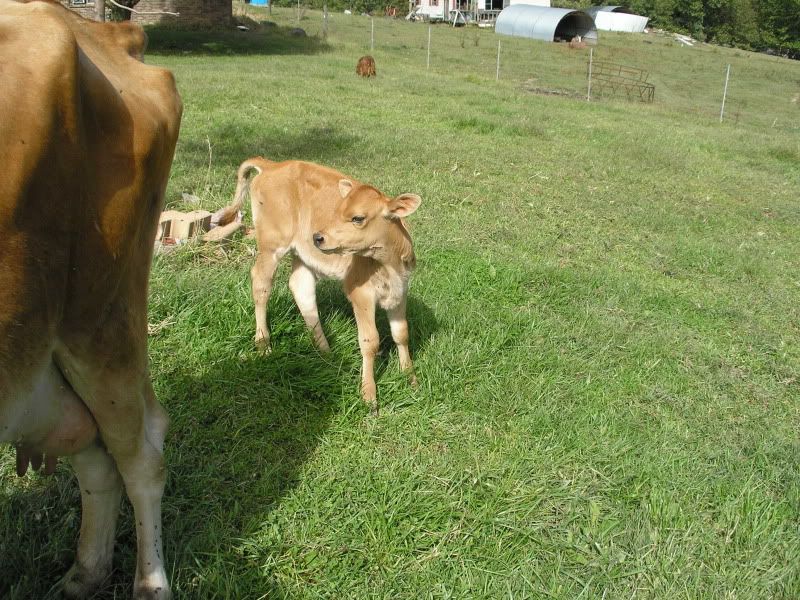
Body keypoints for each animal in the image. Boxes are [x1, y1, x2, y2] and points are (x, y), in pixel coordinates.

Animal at [223, 158, 420, 412]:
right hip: (271, 243)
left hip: (302, 253)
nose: (318, 237)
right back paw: (263, 343)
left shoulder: (401, 290)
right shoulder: (360, 292)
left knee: (301, 288)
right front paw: (369, 396)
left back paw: (326, 353)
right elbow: (370, 341)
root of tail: (273, 164)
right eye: (338, 211)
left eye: (358, 218)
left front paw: (411, 379)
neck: (389, 264)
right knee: (261, 284)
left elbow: (401, 334)